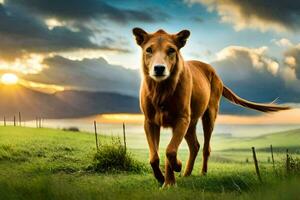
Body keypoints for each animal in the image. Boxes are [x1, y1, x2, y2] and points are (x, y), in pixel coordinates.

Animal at [132, 27, 290, 187]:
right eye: (149, 50)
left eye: (171, 50)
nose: (159, 68)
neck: (161, 89)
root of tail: (216, 74)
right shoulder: (150, 122)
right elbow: (154, 157)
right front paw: (162, 179)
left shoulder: (181, 119)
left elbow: (170, 150)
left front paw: (174, 171)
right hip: (191, 123)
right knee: (194, 146)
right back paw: (186, 174)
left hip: (209, 116)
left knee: (205, 148)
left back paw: (201, 173)